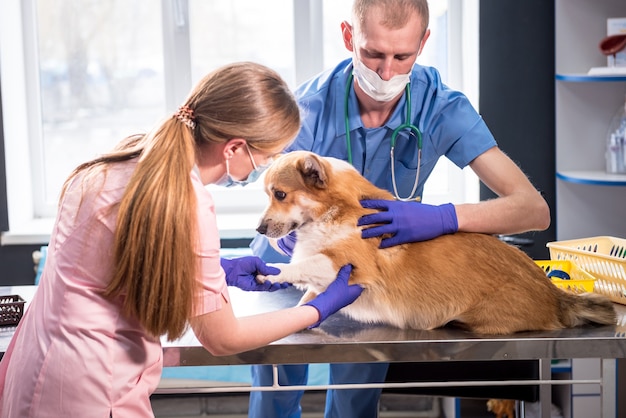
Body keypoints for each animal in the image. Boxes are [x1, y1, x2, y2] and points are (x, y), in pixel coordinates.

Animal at [255, 150, 616, 334]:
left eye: (280, 194)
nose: (258, 229)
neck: (336, 209)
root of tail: (555, 296)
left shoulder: (349, 265)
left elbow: (303, 265)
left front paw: (269, 272)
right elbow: (312, 292)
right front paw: (305, 312)